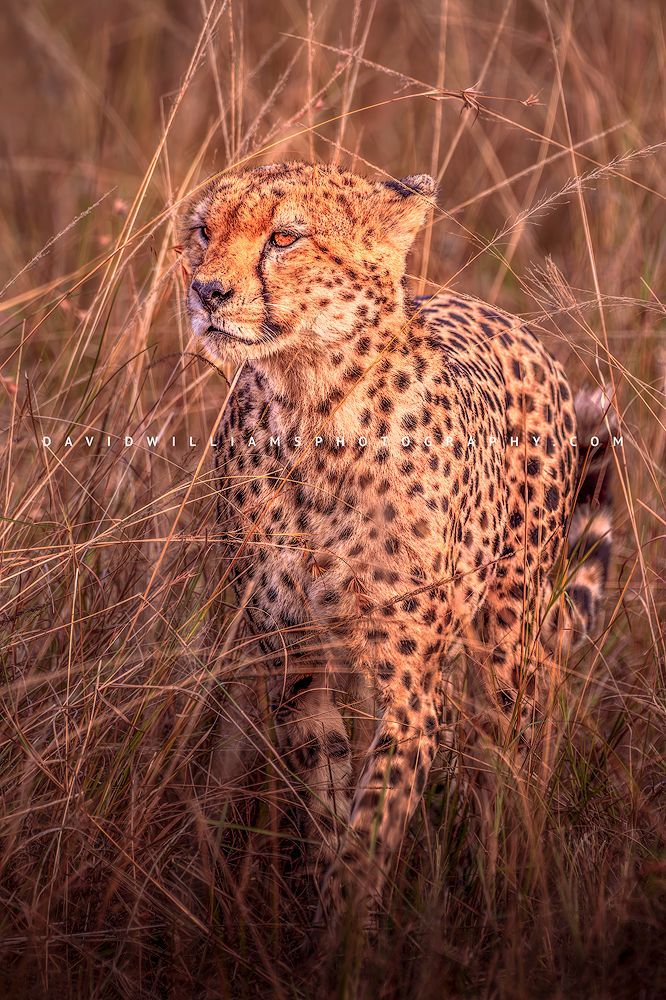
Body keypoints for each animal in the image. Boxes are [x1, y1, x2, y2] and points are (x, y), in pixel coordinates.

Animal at [180, 161, 615, 934]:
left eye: (285, 237)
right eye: (204, 230)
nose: (206, 292)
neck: (311, 404)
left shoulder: (408, 683)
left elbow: (376, 812)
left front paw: (350, 926)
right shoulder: (296, 664)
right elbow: (328, 794)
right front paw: (327, 907)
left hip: (509, 635)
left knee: (519, 732)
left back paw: (514, 876)